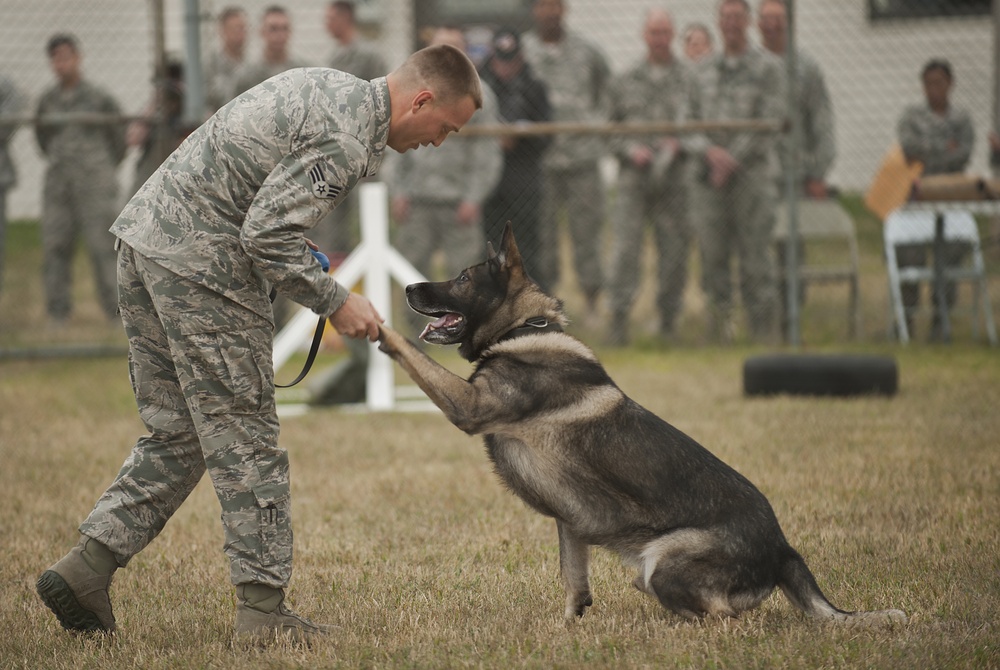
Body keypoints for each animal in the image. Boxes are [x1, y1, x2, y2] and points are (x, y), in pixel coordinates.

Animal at [376, 226, 908, 624]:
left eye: (463, 278)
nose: (407, 288)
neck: (523, 330)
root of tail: (783, 550)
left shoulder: (468, 406)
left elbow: (413, 354)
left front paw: (376, 325)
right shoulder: (570, 520)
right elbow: (574, 583)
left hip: (660, 565)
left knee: (720, 616)